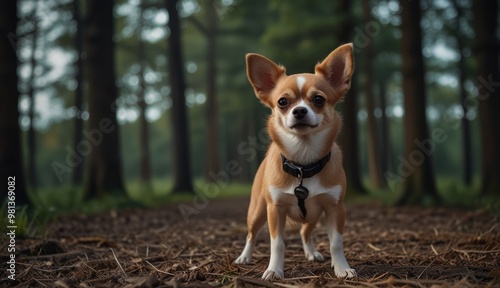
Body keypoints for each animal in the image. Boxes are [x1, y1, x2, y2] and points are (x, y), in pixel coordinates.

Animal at [234, 44, 356, 280]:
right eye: (283, 102)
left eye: (318, 99)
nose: (299, 110)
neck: (304, 162)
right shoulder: (275, 209)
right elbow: (277, 243)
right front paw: (274, 270)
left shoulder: (335, 208)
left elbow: (336, 242)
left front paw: (341, 267)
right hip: (257, 211)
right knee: (251, 234)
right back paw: (245, 257)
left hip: (314, 216)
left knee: (304, 231)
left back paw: (312, 253)